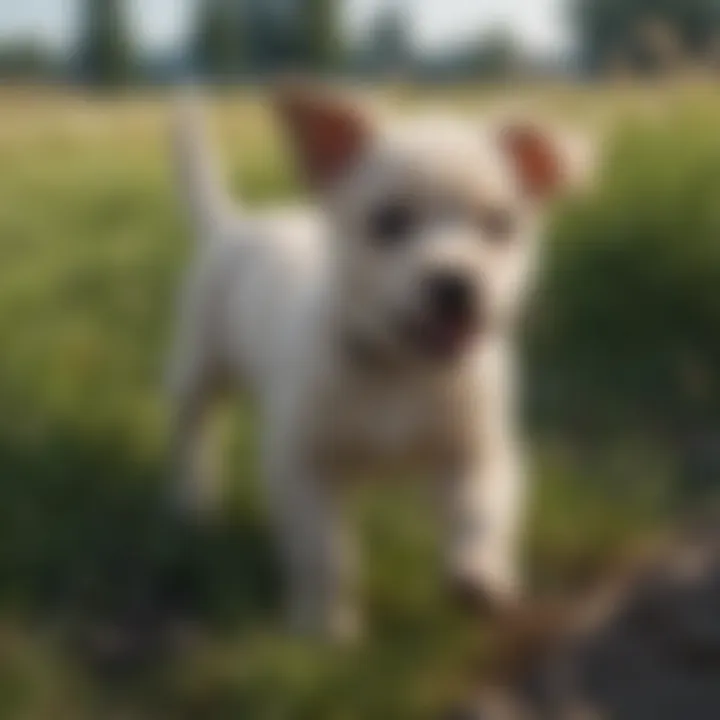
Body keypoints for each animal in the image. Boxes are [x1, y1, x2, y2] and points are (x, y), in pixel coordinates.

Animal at [170, 84, 592, 640]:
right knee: (195, 429)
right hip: (199, 364)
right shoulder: (306, 467)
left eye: (501, 224)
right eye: (389, 222)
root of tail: (235, 222)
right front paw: (324, 625)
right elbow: (326, 554)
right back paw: (193, 501)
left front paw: (480, 574)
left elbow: (480, 511)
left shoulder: (478, 451)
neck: (400, 368)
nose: (455, 285)